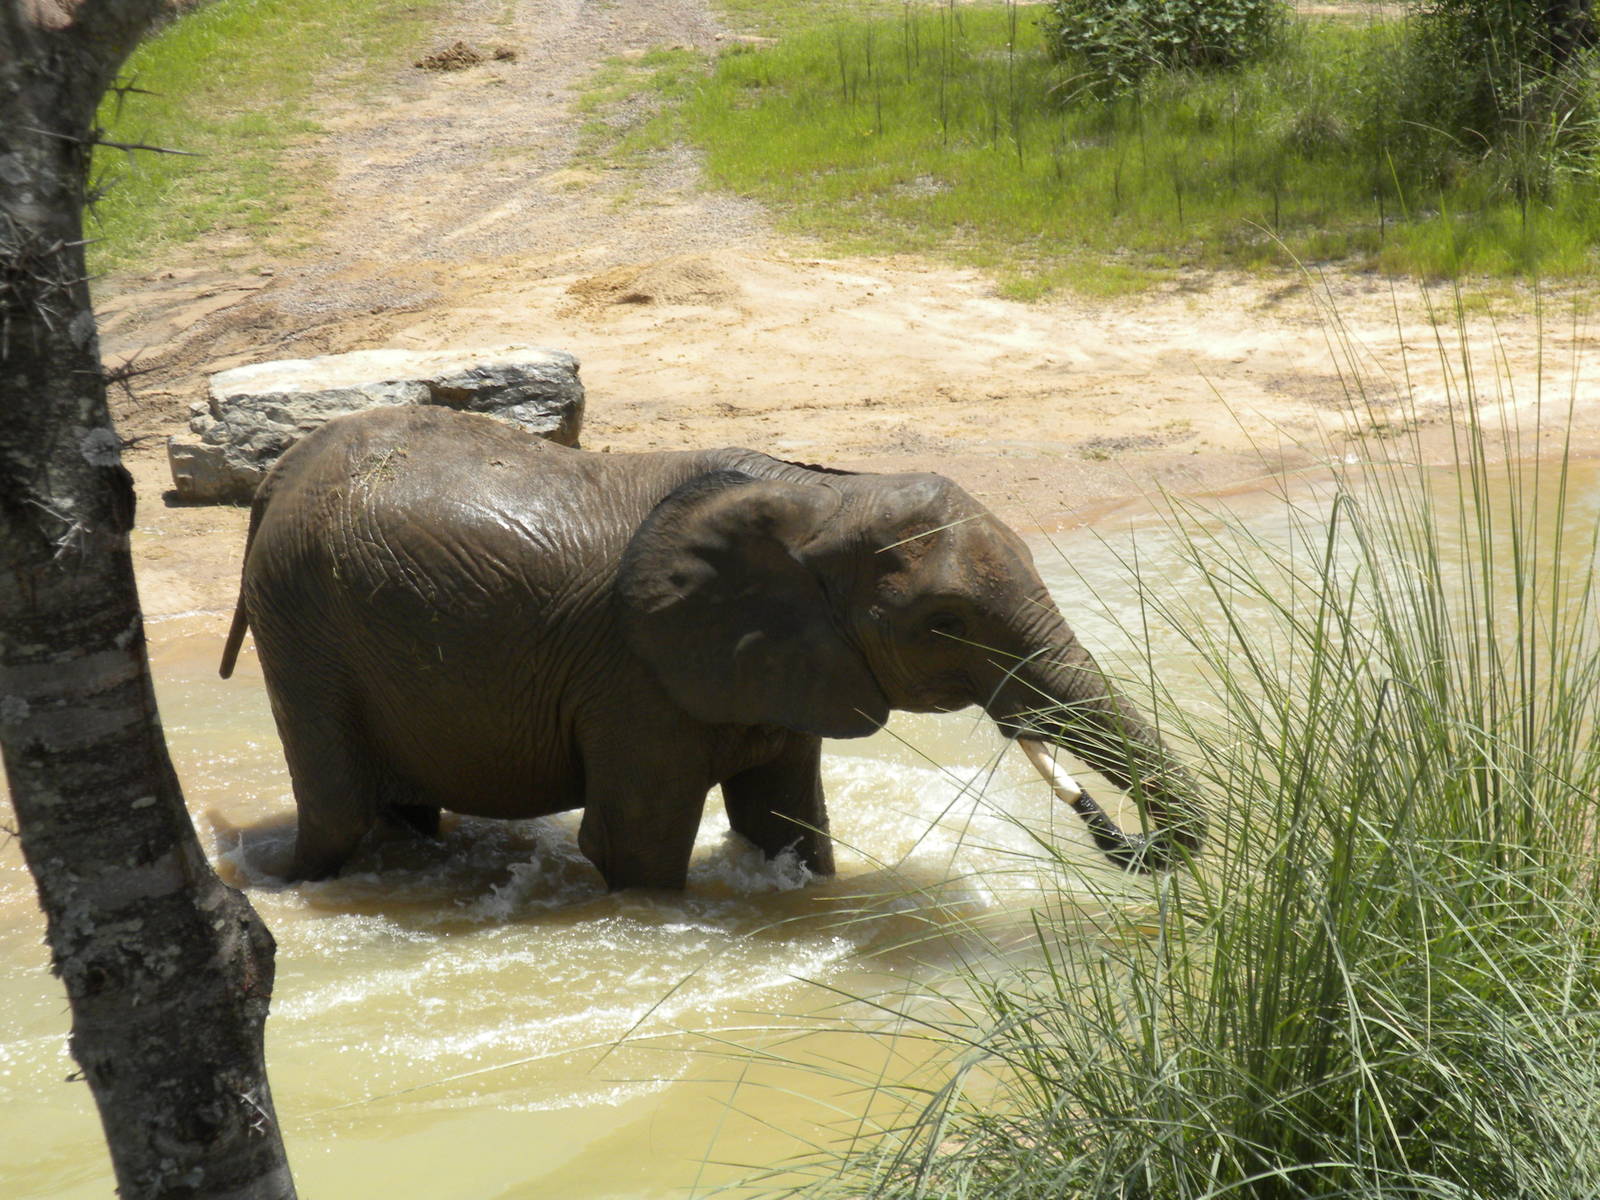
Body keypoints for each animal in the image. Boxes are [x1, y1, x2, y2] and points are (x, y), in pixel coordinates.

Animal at [219, 405, 1203, 889]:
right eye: (947, 623)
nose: (1102, 820)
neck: (823, 498)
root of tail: (276, 476)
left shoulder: (786, 661)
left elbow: (787, 822)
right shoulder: (634, 678)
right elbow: (635, 847)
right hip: (301, 625)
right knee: (339, 812)